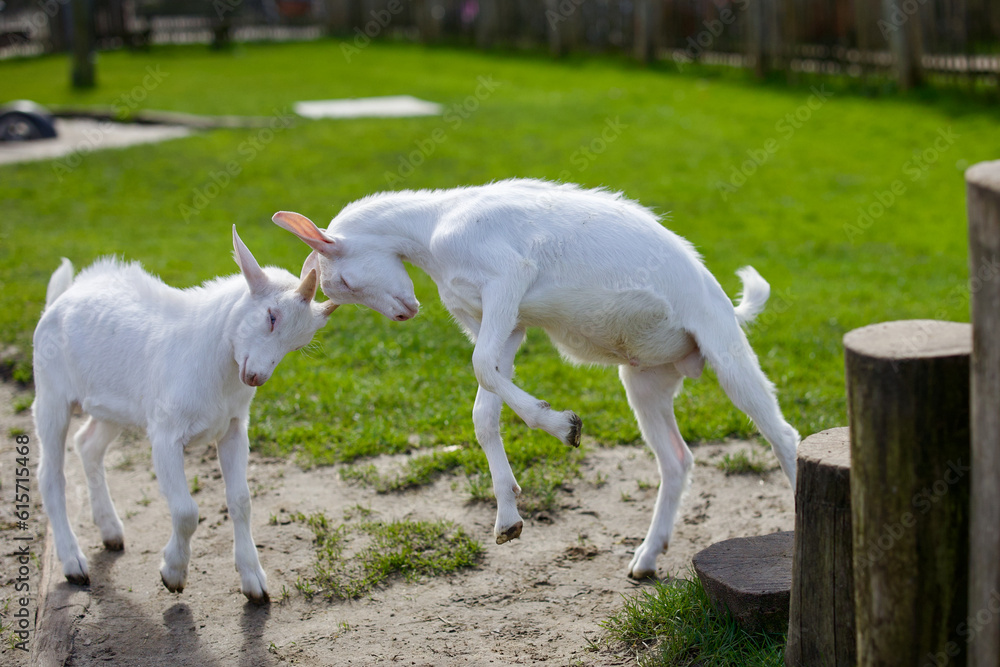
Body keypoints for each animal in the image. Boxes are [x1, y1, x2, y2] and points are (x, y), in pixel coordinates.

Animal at [32, 227, 335, 603]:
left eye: (298, 344)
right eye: (271, 316)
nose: (256, 377)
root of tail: (61, 298)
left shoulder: (234, 427)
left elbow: (241, 501)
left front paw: (254, 581)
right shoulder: (165, 433)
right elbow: (186, 511)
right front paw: (173, 573)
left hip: (114, 407)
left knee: (87, 445)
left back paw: (111, 531)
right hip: (51, 394)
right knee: (50, 474)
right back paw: (73, 562)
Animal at [273, 179, 799, 579]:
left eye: (345, 282)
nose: (406, 313)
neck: (434, 226)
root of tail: (724, 303)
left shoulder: (508, 277)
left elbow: (481, 365)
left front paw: (563, 425)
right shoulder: (503, 321)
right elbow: (484, 403)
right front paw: (508, 518)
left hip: (725, 350)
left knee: (783, 434)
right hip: (646, 380)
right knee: (676, 459)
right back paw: (646, 559)